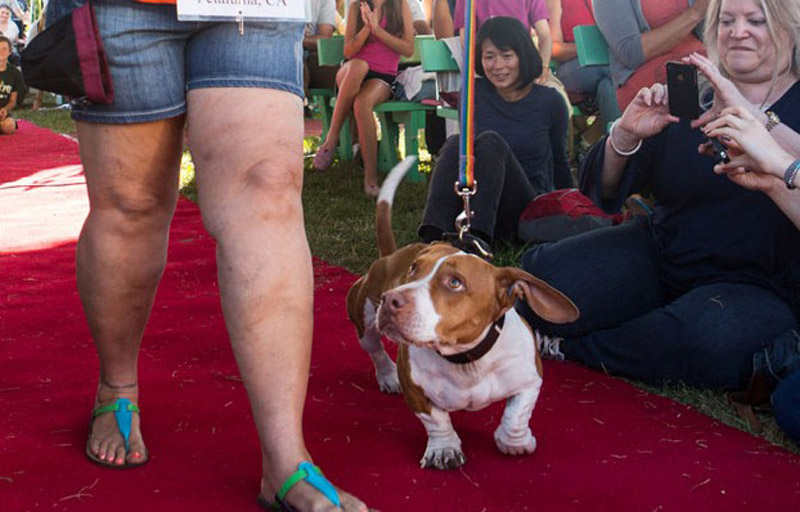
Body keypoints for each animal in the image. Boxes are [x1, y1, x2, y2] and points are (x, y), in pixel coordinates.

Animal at [346, 158, 580, 470]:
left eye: (455, 283)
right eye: (414, 269)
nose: (391, 298)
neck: (466, 359)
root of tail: (390, 256)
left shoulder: (531, 378)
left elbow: (517, 414)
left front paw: (515, 442)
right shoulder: (415, 390)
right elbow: (436, 420)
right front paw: (444, 449)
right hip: (364, 318)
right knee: (374, 348)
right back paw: (387, 376)